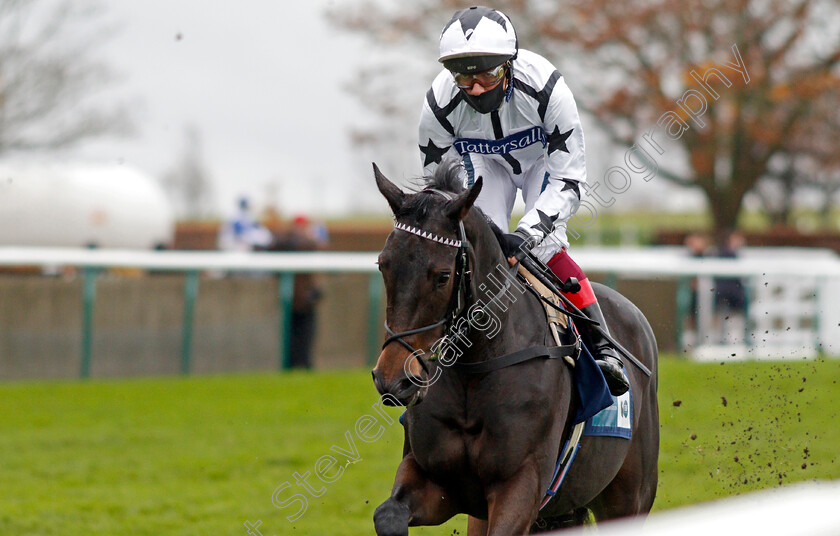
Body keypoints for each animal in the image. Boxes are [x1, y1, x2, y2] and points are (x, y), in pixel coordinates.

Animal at [370, 164, 660, 536]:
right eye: (383, 265)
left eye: (442, 276)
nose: (393, 380)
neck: (477, 365)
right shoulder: (435, 480)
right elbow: (388, 515)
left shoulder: (521, 483)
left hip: (629, 499)